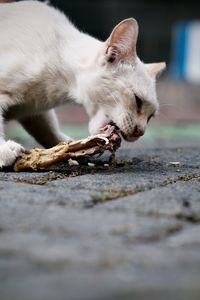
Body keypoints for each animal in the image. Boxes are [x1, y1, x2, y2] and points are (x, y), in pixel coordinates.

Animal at [0, 0, 166, 166]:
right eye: (137, 100)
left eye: (150, 117)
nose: (140, 132)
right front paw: (4, 151)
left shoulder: (35, 112)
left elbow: (48, 128)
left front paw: (67, 147)